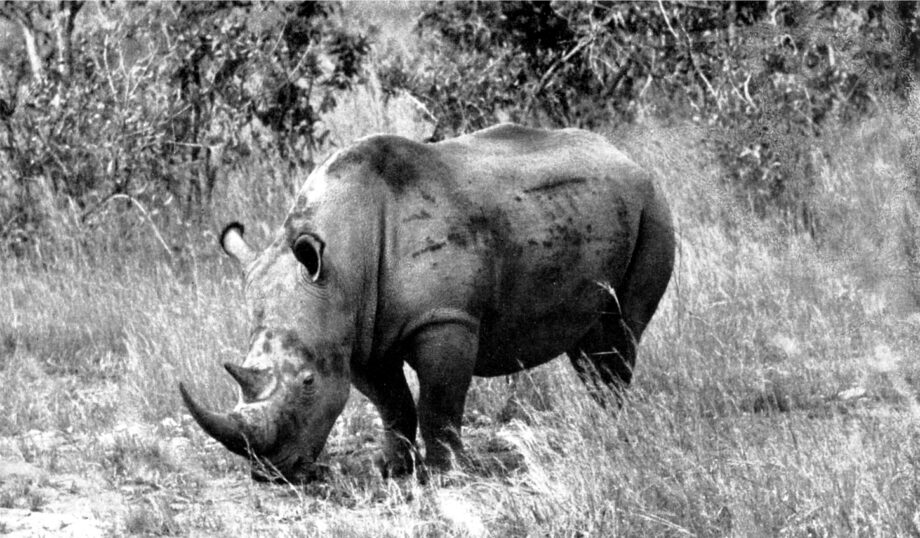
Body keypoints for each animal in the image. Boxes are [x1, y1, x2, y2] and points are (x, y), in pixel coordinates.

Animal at [179, 123, 675, 482]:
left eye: (307, 382)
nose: (271, 475)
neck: (342, 261)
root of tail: (626, 156)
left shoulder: (444, 319)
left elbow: (439, 399)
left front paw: (446, 474)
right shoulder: (358, 332)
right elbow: (392, 403)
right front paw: (392, 469)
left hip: (653, 207)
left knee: (621, 330)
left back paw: (608, 434)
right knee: (590, 341)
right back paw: (597, 427)